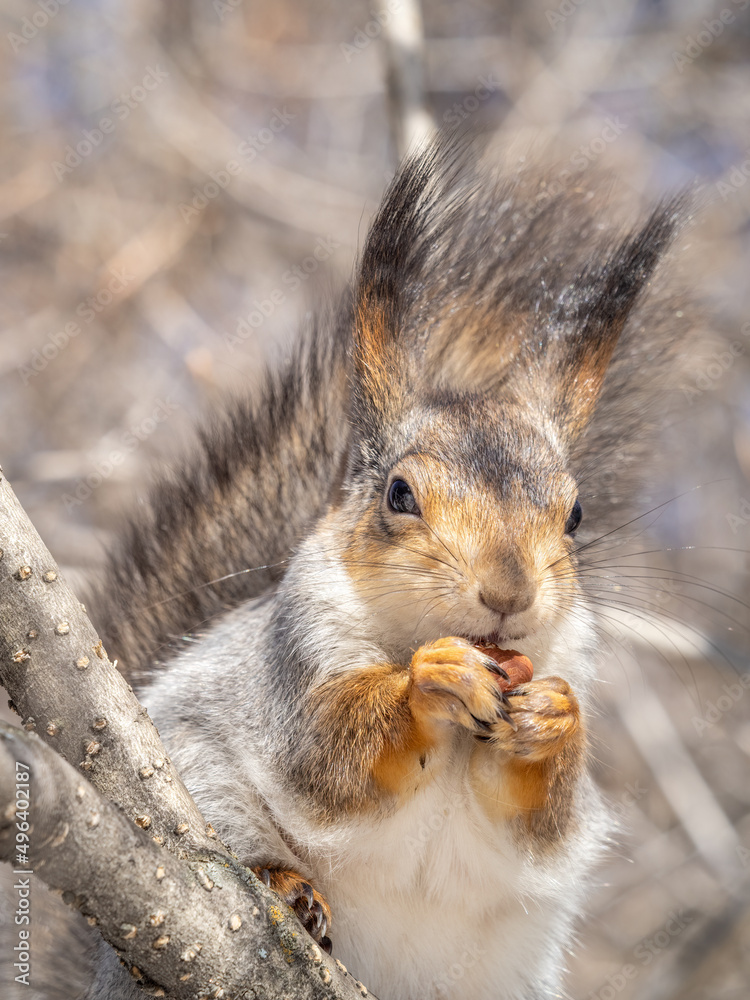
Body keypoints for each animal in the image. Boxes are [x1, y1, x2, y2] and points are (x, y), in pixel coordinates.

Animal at [82, 134, 691, 1000]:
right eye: (400, 494)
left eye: (575, 514)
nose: (509, 593)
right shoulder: (296, 652)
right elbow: (329, 751)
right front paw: (429, 682)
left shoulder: (569, 666)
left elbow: (547, 818)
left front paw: (554, 718)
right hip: (201, 792)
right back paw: (285, 887)